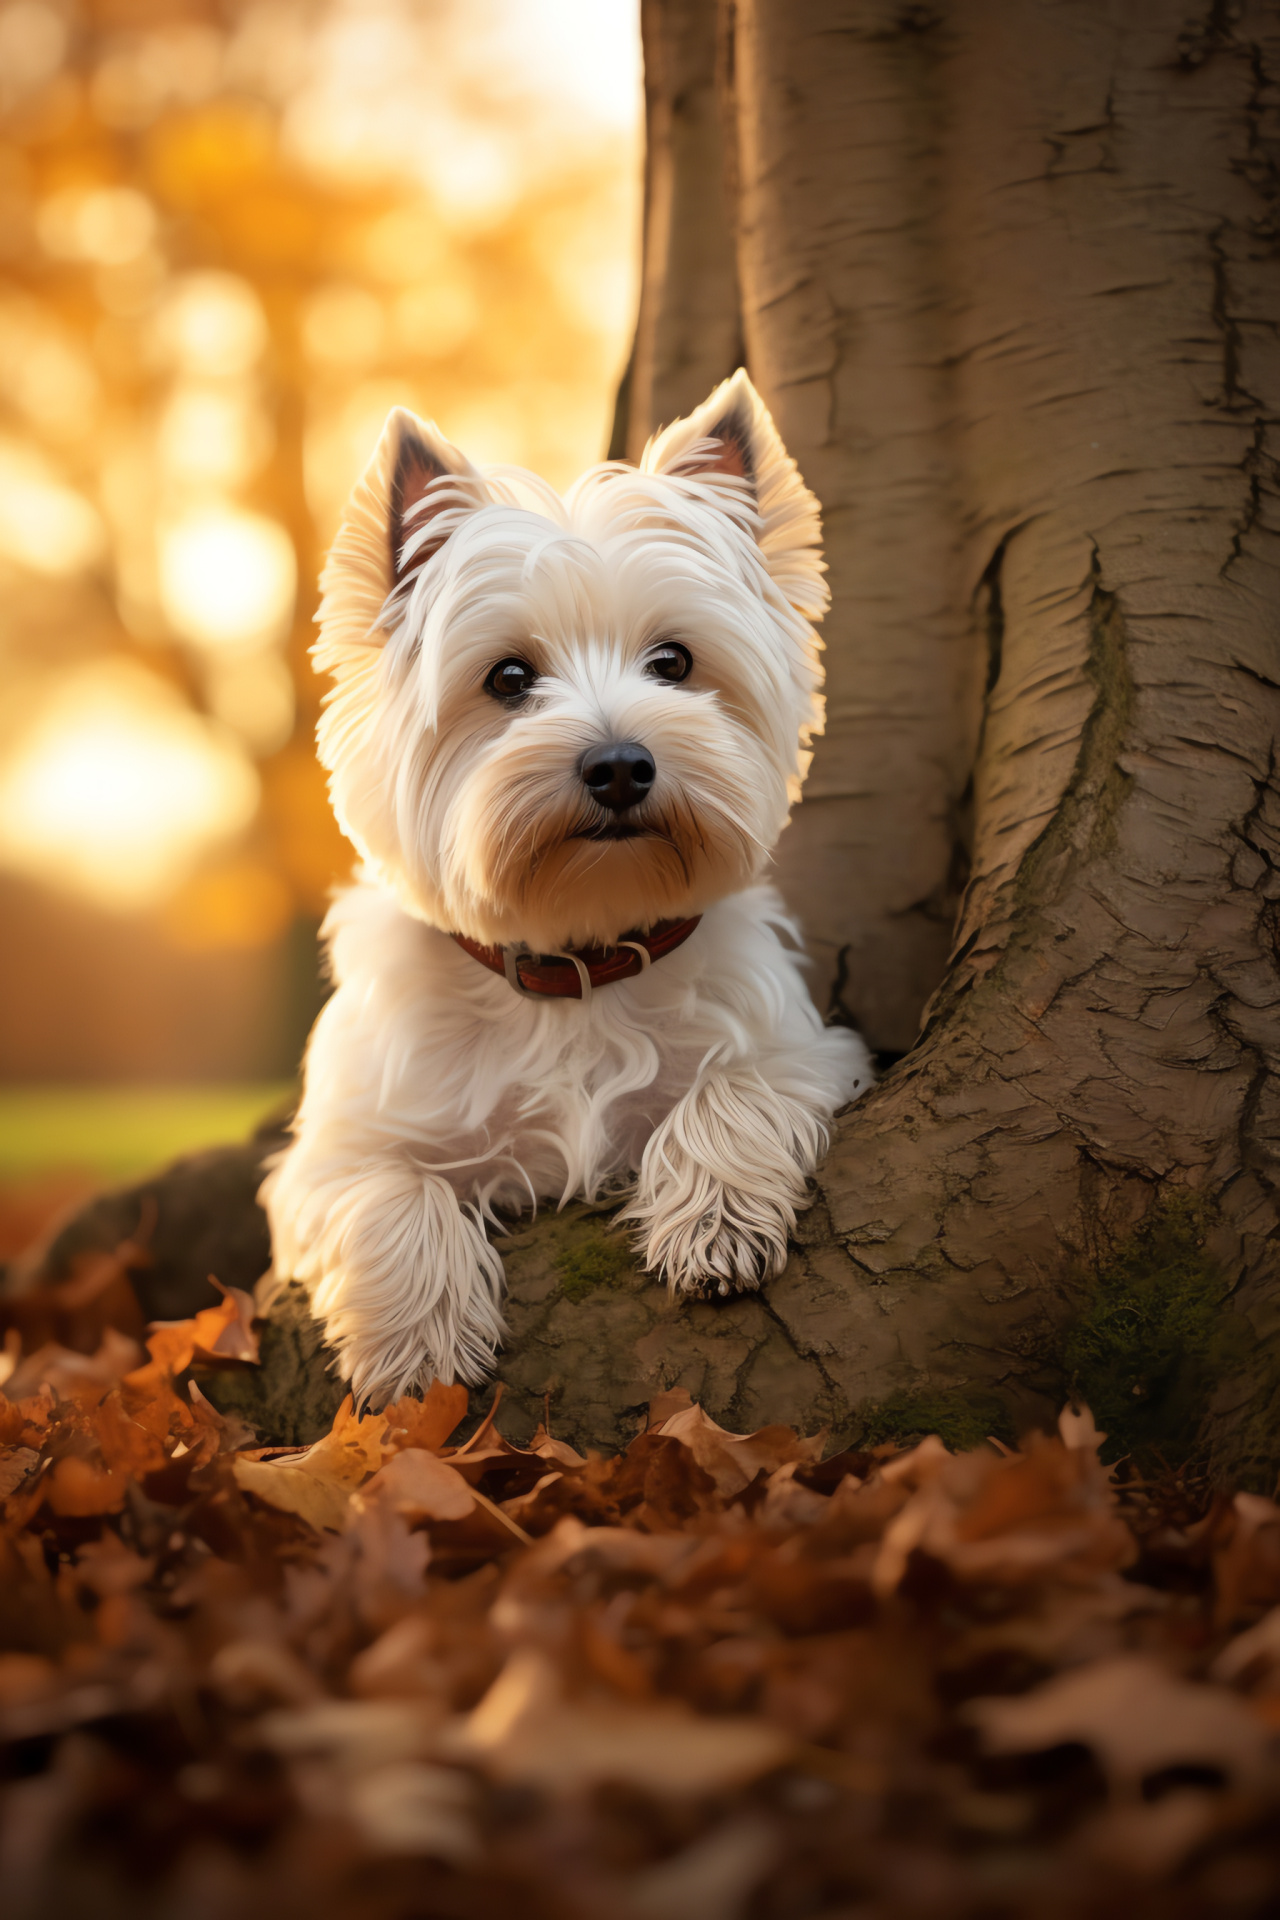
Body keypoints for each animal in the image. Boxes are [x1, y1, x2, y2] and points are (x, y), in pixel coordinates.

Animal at [264, 370, 875, 1397]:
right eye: (509, 678)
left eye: (673, 662)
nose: (621, 766)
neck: (577, 963)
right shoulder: (336, 1152)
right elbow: (390, 1190)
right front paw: (419, 1345)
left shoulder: (806, 1048)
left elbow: (736, 1087)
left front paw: (714, 1221)